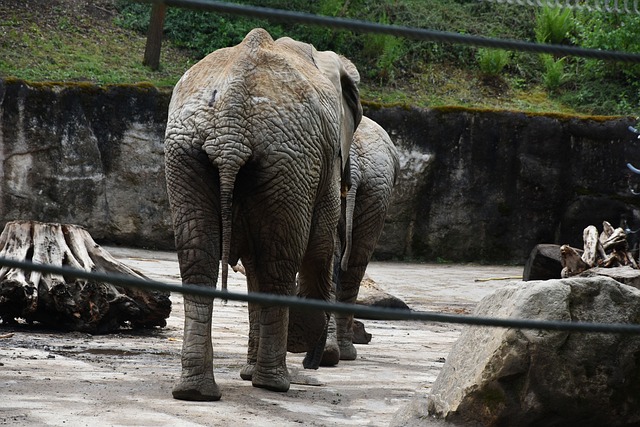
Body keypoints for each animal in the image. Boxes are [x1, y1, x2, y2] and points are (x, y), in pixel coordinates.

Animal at [162, 27, 362, 402]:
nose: (315, 363)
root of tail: (231, 114)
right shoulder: (323, 160)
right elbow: (319, 246)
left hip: (189, 152)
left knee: (198, 258)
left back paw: (196, 391)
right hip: (288, 159)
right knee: (279, 263)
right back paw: (274, 383)